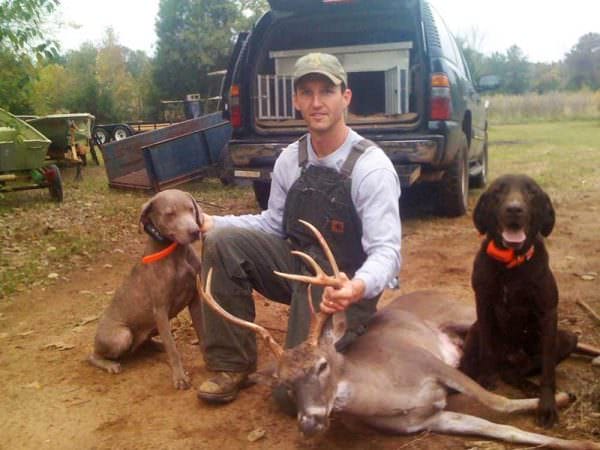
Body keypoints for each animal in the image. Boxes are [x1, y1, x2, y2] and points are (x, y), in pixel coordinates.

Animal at [88, 188, 203, 388]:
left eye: (191, 209)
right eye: (170, 214)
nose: (195, 231)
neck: (176, 254)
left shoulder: (194, 298)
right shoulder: (160, 310)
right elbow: (173, 350)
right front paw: (180, 378)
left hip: (151, 327)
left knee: (146, 343)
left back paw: (156, 345)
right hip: (122, 335)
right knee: (93, 356)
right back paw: (110, 364)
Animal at [197, 221, 600, 450]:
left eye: (323, 365)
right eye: (283, 382)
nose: (308, 422)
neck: (389, 394)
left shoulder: (431, 363)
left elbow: (498, 404)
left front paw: (561, 402)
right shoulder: (428, 420)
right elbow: (501, 430)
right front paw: (579, 443)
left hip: (471, 317)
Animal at [458, 174, 580, 428]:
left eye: (532, 192)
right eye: (498, 191)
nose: (514, 209)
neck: (511, 264)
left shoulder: (548, 312)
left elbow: (548, 369)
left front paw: (547, 405)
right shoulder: (482, 304)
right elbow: (486, 351)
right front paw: (485, 379)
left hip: (568, 339)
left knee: (519, 370)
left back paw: (527, 385)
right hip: (474, 330)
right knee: (472, 364)